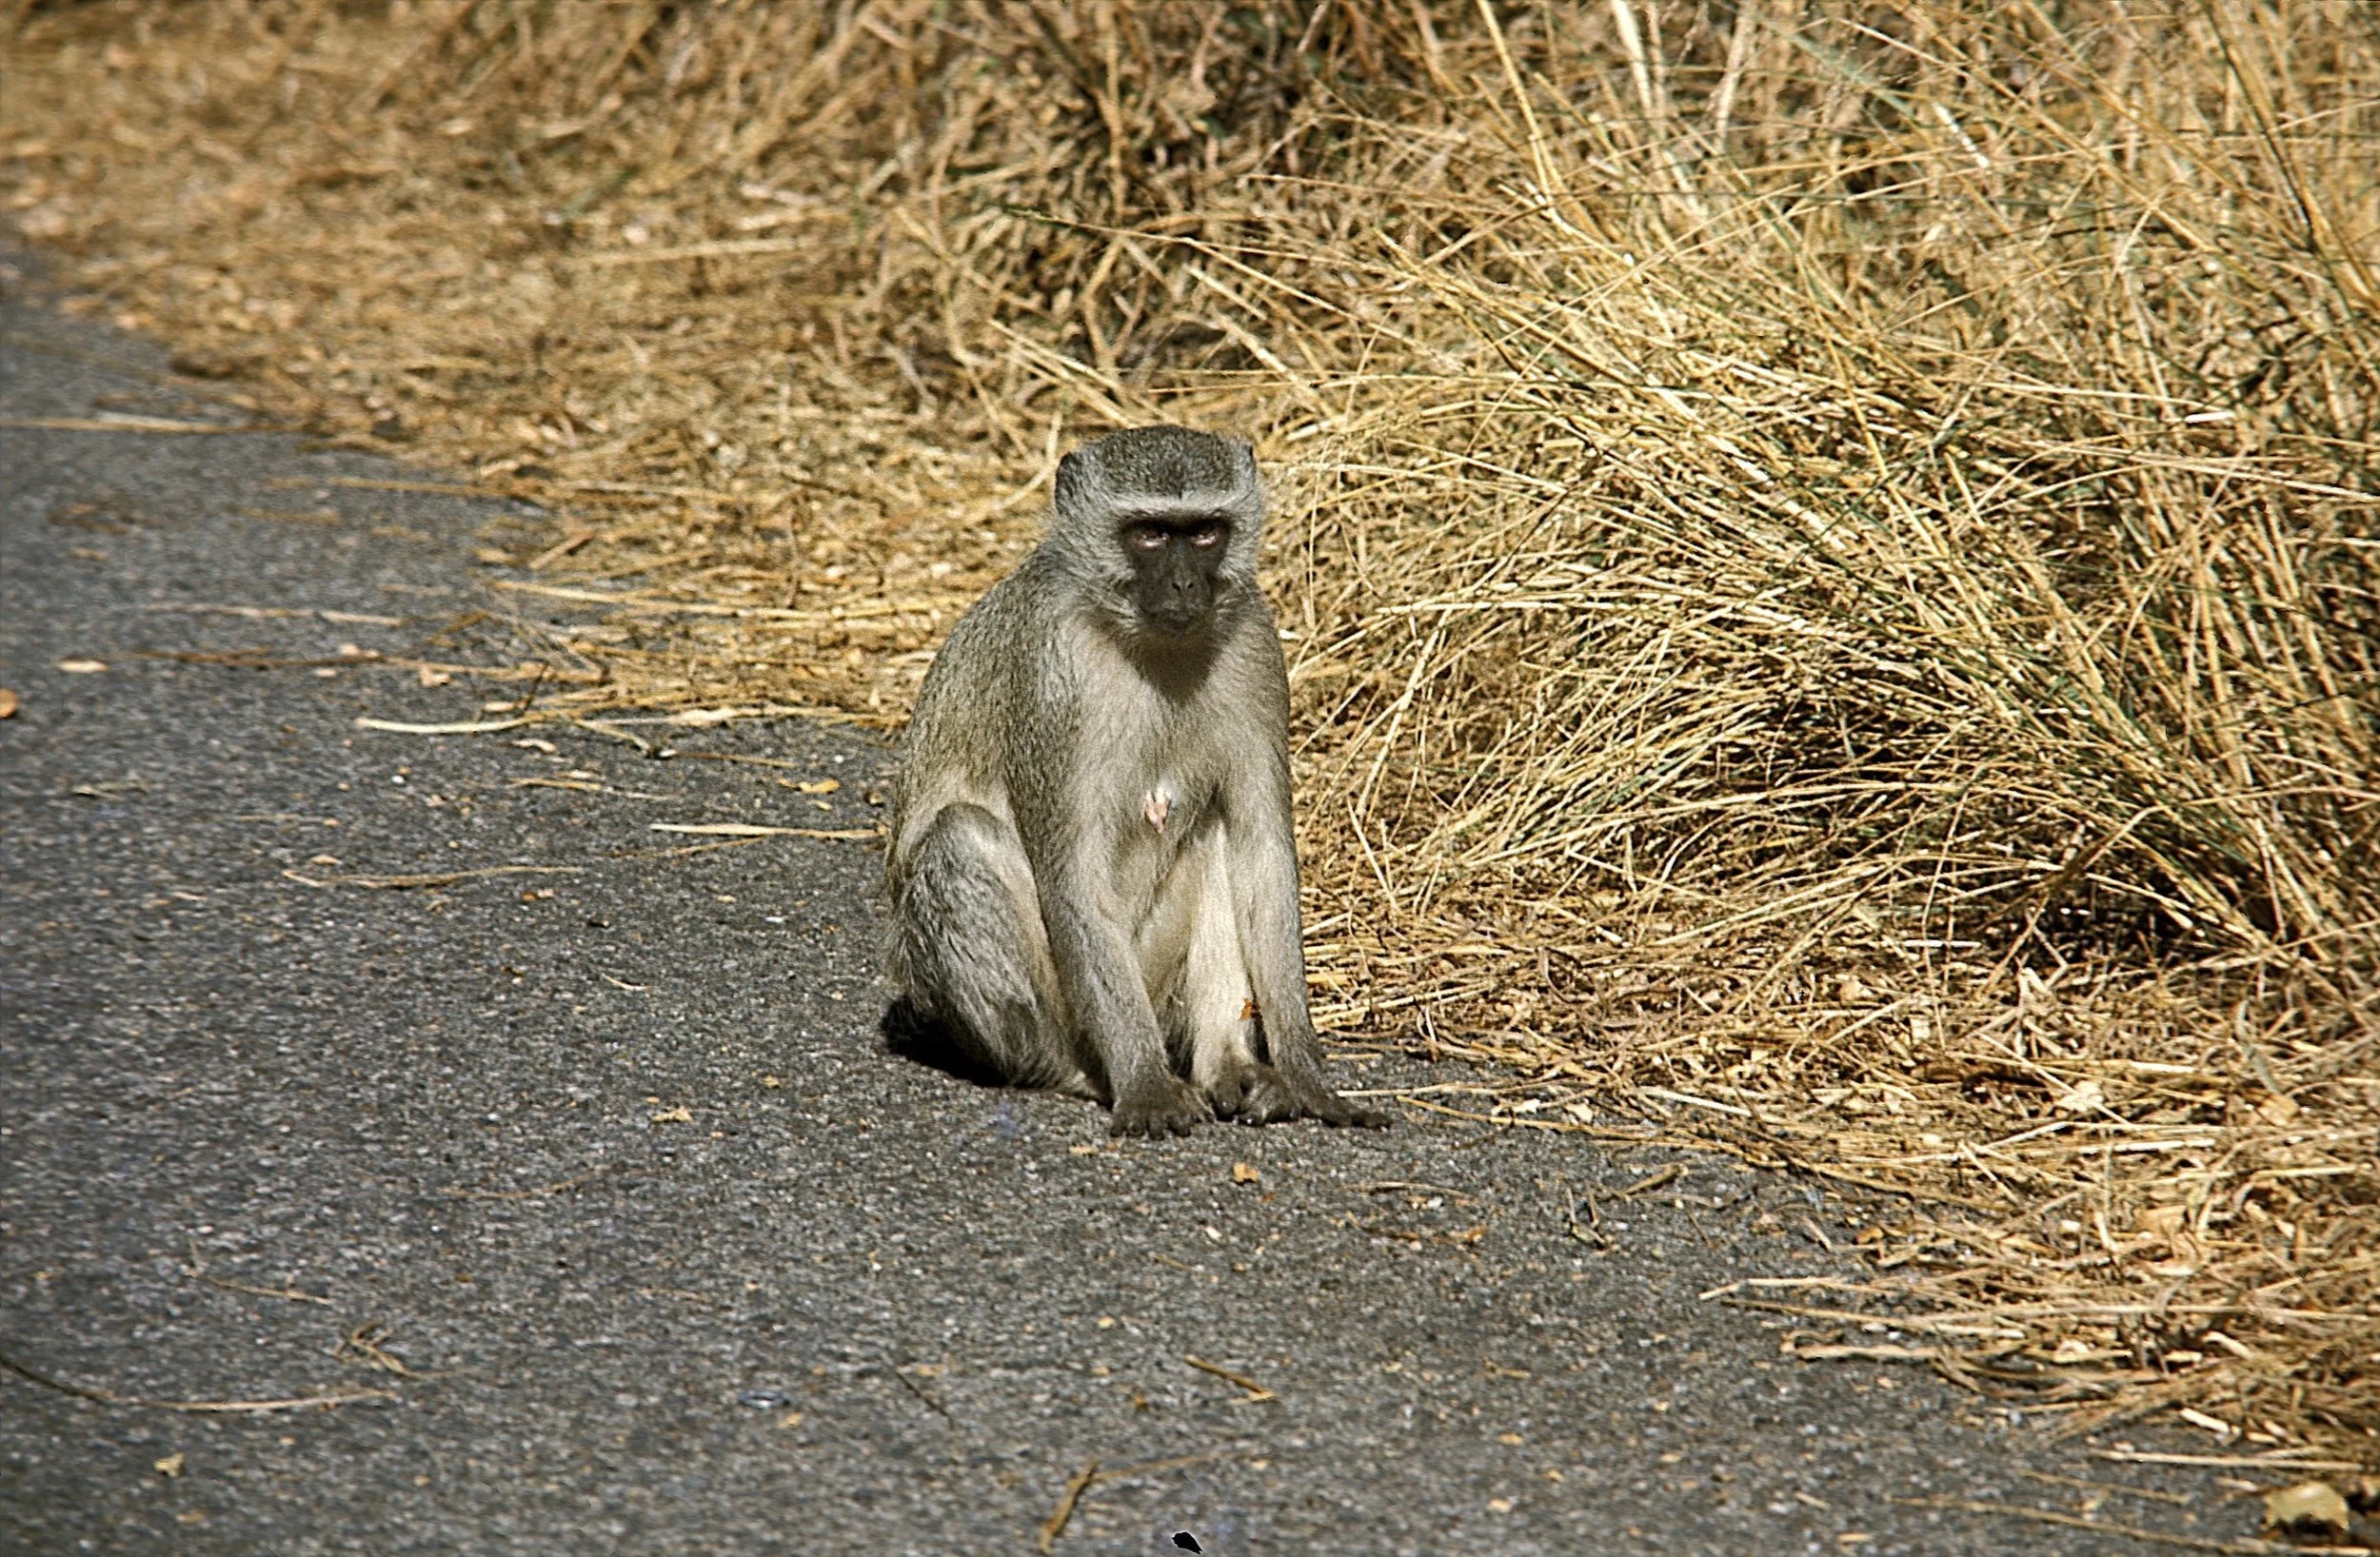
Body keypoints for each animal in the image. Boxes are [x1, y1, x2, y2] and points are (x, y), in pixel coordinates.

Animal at [883, 425, 1387, 1137]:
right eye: (1149, 533)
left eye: (1204, 532)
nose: (1182, 583)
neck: (1151, 644)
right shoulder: (1053, 678)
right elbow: (1074, 873)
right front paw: (1146, 1087)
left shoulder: (1258, 649)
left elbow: (1262, 853)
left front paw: (1308, 1076)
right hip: (1064, 1006)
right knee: (959, 835)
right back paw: (1075, 1072)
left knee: (1213, 830)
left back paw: (1228, 1067)